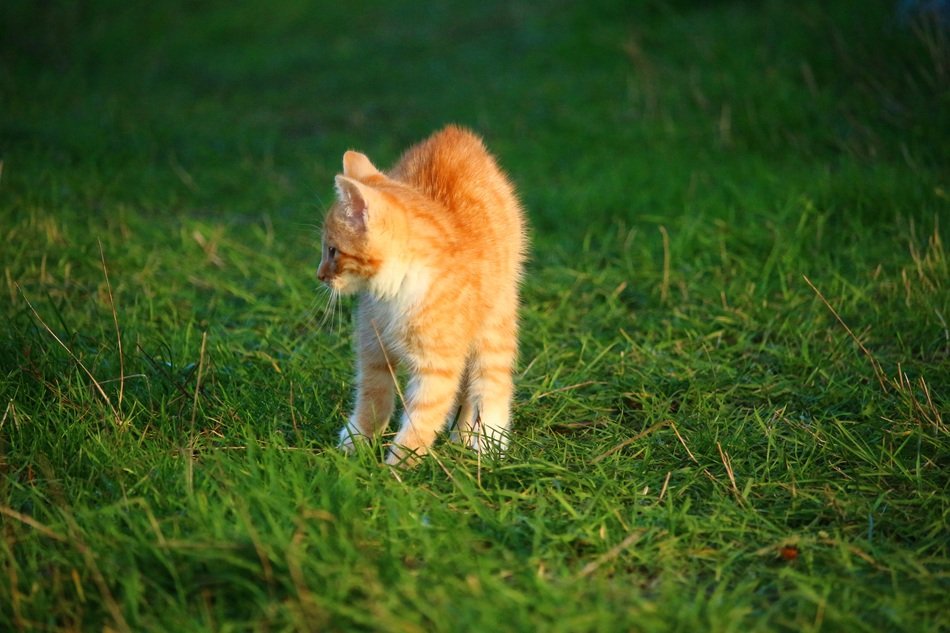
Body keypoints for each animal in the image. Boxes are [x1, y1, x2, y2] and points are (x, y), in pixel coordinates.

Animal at [318, 126, 528, 466]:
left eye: (332, 250)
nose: (320, 275)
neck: (396, 290)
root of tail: (456, 134)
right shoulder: (373, 346)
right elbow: (373, 396)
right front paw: (355, 444)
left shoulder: (437, 367)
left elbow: (422, 417)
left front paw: (396, 467)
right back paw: (463, 436)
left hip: (496, 316)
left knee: (491, 378)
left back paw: (486, 446)